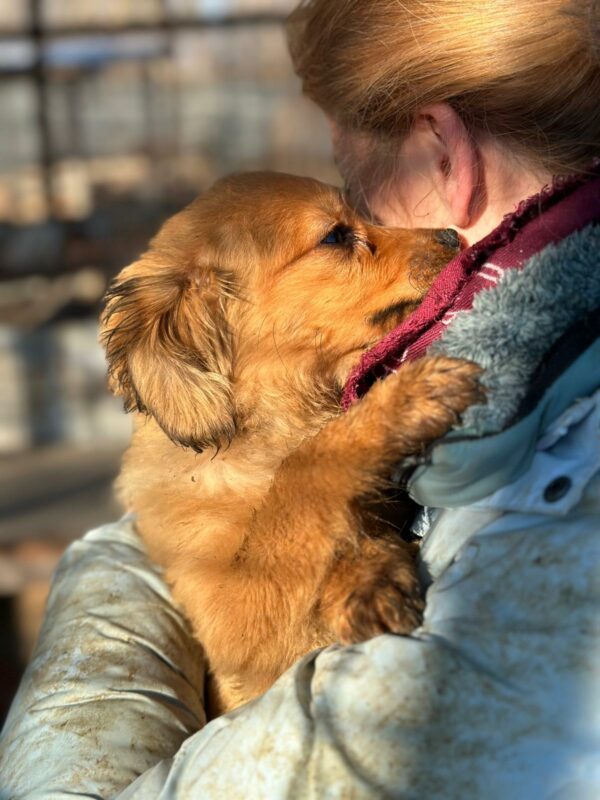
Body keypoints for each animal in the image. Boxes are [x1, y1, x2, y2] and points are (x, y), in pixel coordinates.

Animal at [101, 173, 480, 712]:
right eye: (336, 237)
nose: (452, 235)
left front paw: (368, 577)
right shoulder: (230, 613)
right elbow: (300, 475)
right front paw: (401, 400)